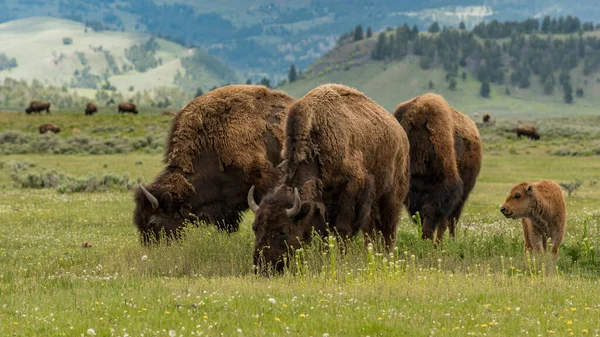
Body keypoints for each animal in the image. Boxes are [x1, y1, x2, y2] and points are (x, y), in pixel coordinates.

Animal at [246, 82, 410, 272]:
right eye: (255, 227)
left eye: (283, 230)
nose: (261, 266)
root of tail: (400, 134)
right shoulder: (321, 205)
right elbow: (324, 234)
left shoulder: (350, 193)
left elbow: (342, 230)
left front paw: (339, 257)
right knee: (371, 231)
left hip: (391, 197)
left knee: (389, 228)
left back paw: (387, 256)